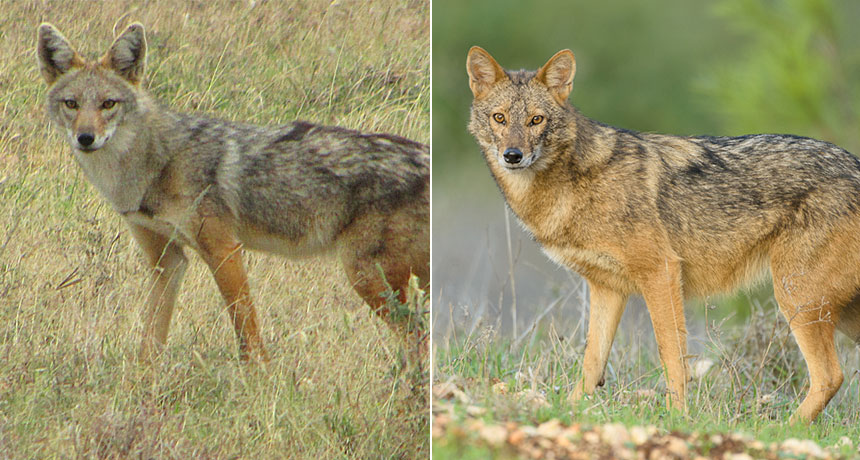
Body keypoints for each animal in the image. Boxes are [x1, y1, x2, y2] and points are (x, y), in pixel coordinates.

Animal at [36, 22, 429, 364]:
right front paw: (142, 386)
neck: (152, 165)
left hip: (366, 276)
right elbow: (150, 341)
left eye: (108, 104)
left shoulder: (224, 250)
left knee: (420, 339)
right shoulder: (167, 262)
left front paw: (259, 380)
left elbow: (247, 333)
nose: (86, 138)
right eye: (72, 104)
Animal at [466, 46, 860, 423]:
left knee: (829, 376)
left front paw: (676, 417)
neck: (572, 185)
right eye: (499, 118)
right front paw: (572, 410)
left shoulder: (661, 272)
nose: (513, 155)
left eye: (536, 120)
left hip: (797, 300)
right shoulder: (607, 288)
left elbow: (672, 357)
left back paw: (780, 429)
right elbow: (591, 363)